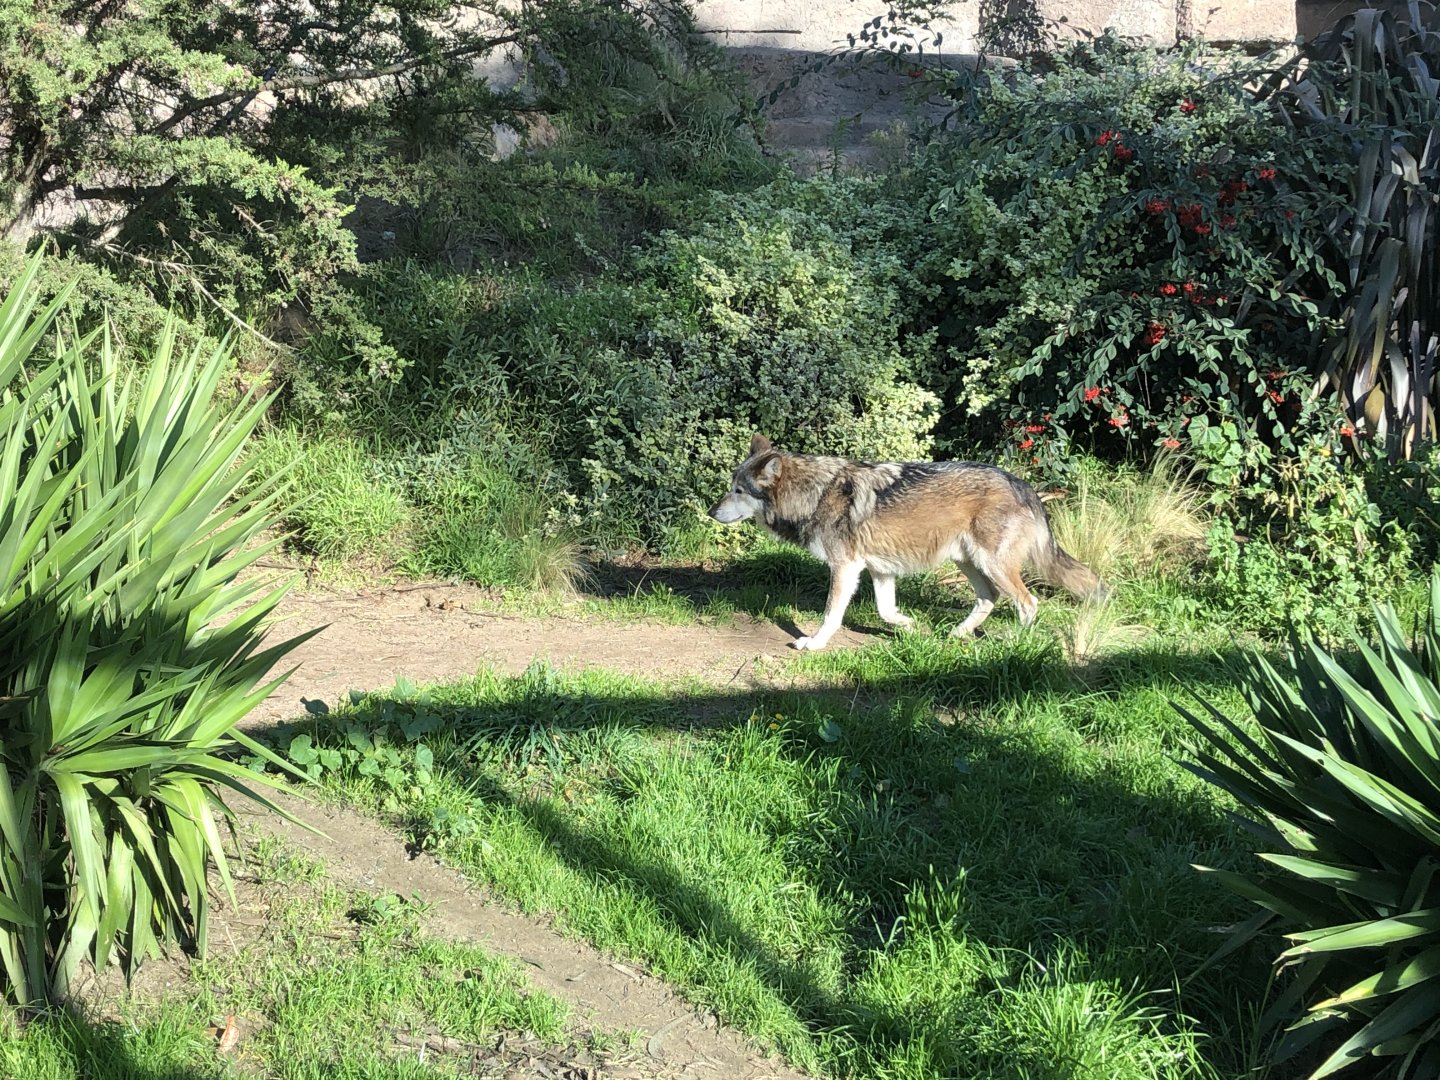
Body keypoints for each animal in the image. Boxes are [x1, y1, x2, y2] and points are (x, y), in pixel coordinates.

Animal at [707, 434, 1105, 650]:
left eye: (739, 490)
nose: (711, 511)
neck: (816, 494)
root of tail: (1024, 486)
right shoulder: (879, 570)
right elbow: (886, 611)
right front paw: (909, 626)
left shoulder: (845, 567)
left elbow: (831, 614)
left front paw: (814, 643)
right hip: (969, 563)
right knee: (989, 599)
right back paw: (956, 633)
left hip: (991, 564)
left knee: (1028, 603)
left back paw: (1014, 643)